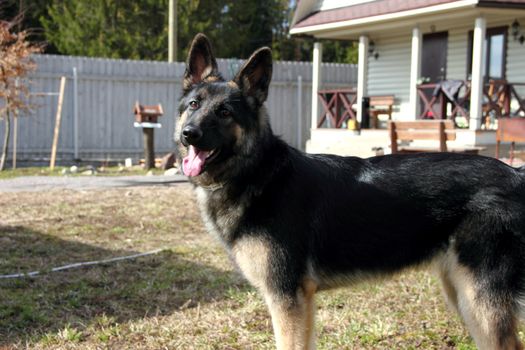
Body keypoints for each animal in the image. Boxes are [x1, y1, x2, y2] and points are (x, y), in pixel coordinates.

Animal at [175, 33, 524, 350]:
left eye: (224, 112)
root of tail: (515, 174)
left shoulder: (288, 300)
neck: (258, 173)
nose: (188, 134)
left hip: (479, 302)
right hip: (461, 294)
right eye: (193, 105)